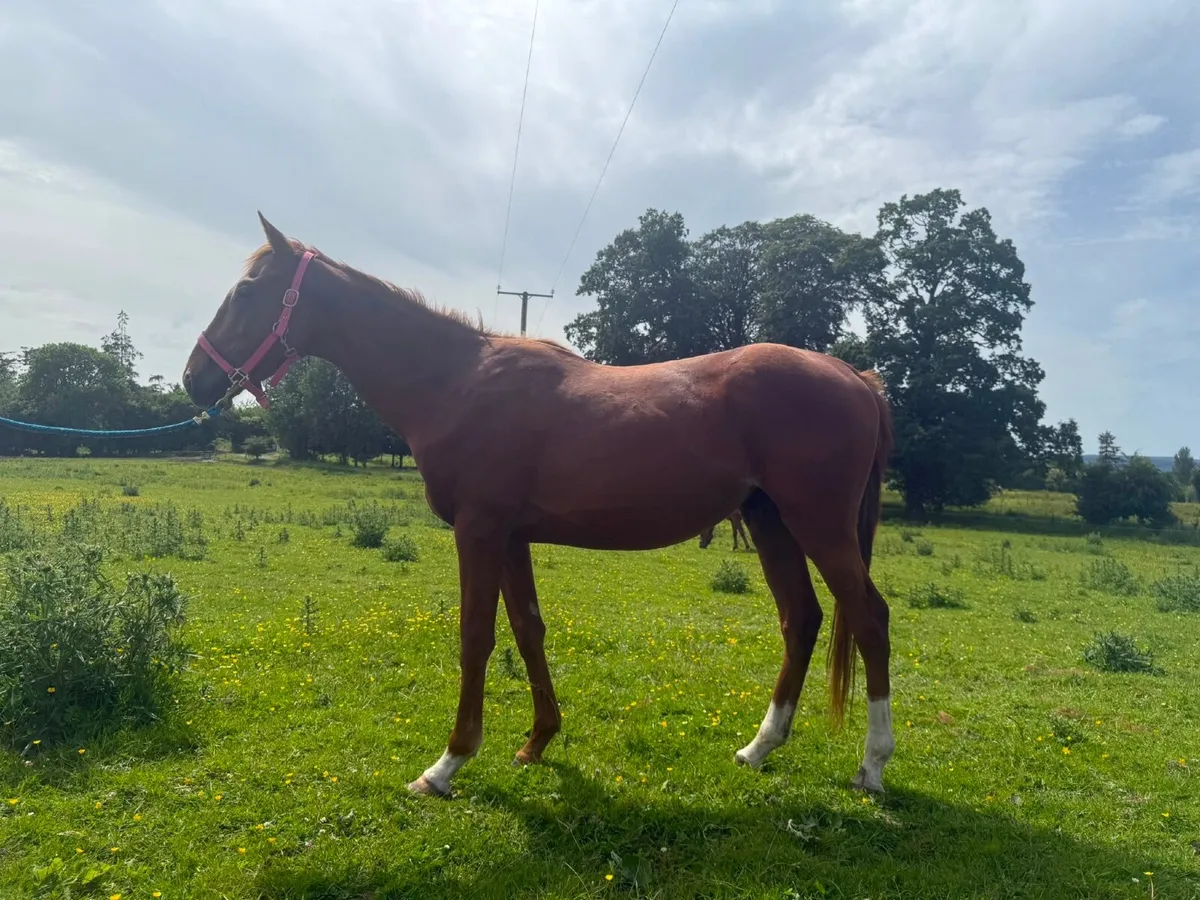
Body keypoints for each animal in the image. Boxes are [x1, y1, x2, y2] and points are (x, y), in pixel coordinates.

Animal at [182, 214, 897, 798]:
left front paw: (447, 764)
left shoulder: (478, 531)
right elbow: (528, 629)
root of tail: (855, 376)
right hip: (770, 522)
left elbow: (476, 636)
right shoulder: (512, 536)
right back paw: (758, 748)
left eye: (246, 293)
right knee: (802, 620)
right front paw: (537, 741)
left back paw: (872, 766)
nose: (195, 377)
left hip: (818, 525)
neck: (455, 383)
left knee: (869, 619)